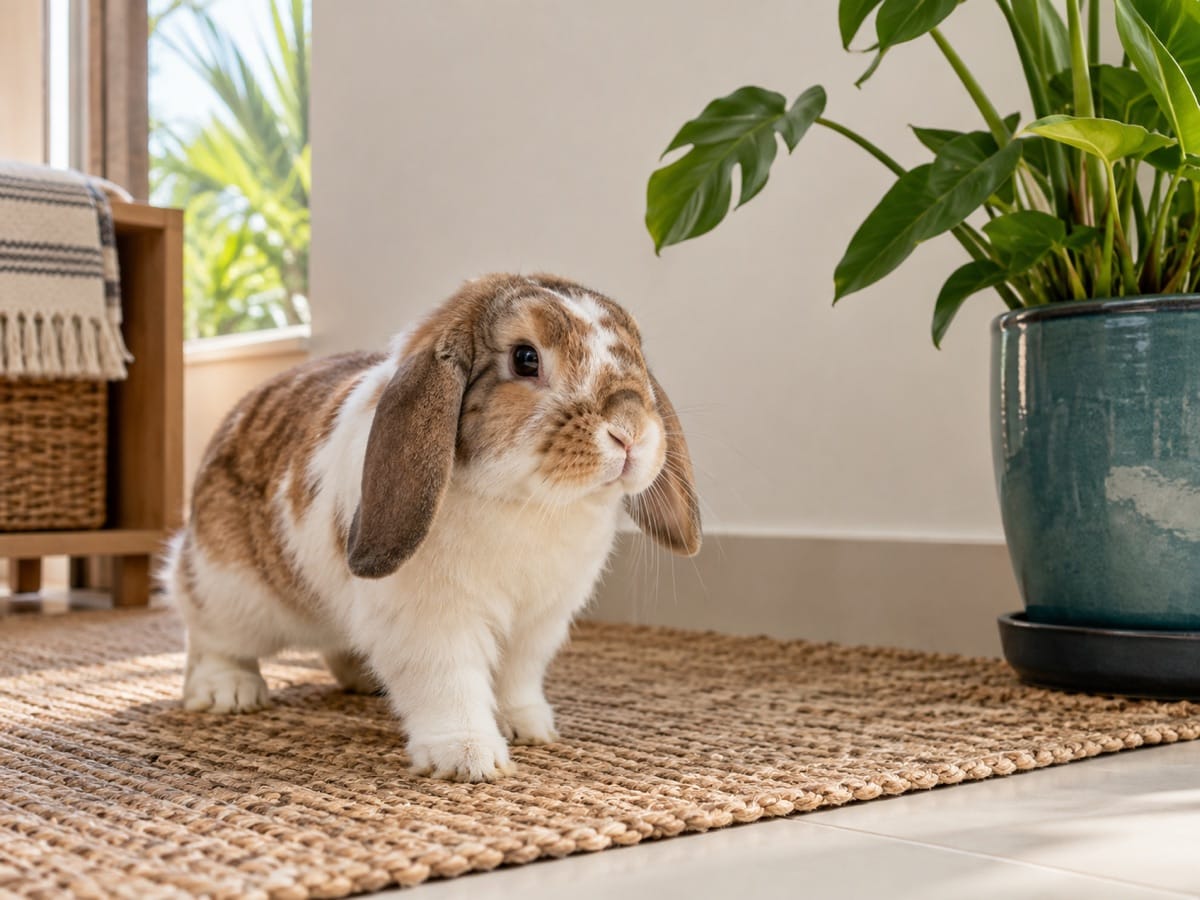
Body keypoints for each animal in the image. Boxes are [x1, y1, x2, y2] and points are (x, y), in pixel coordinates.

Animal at [161, 273, 701, 782]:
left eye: (637, 352)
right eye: (526, 358)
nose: (630, 431)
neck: (527, 503)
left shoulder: (538, 622)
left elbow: (517, 676)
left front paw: (529, 727)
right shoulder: (433, 621)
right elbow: (449, 684)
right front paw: (468, 758)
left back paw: (364, 680)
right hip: (228, 587)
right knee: (207, 635)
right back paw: (228, 692)